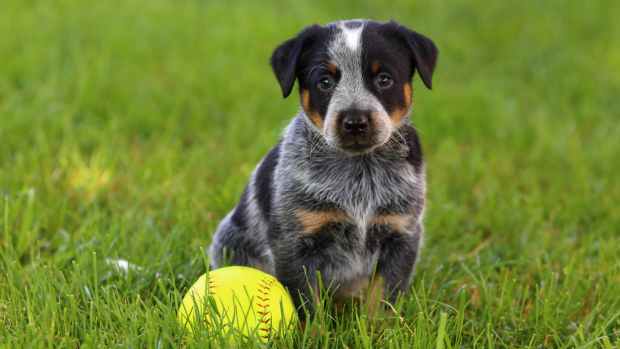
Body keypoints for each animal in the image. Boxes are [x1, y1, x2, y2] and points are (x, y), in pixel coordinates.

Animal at [211, 19, 438, 318]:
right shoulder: (295, 241)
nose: (355, 122)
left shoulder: (401, 234)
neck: (359, 171)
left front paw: (378, 328)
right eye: (325, 82)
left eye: (384, 79)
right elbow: (308, 305)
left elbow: (382, 301)